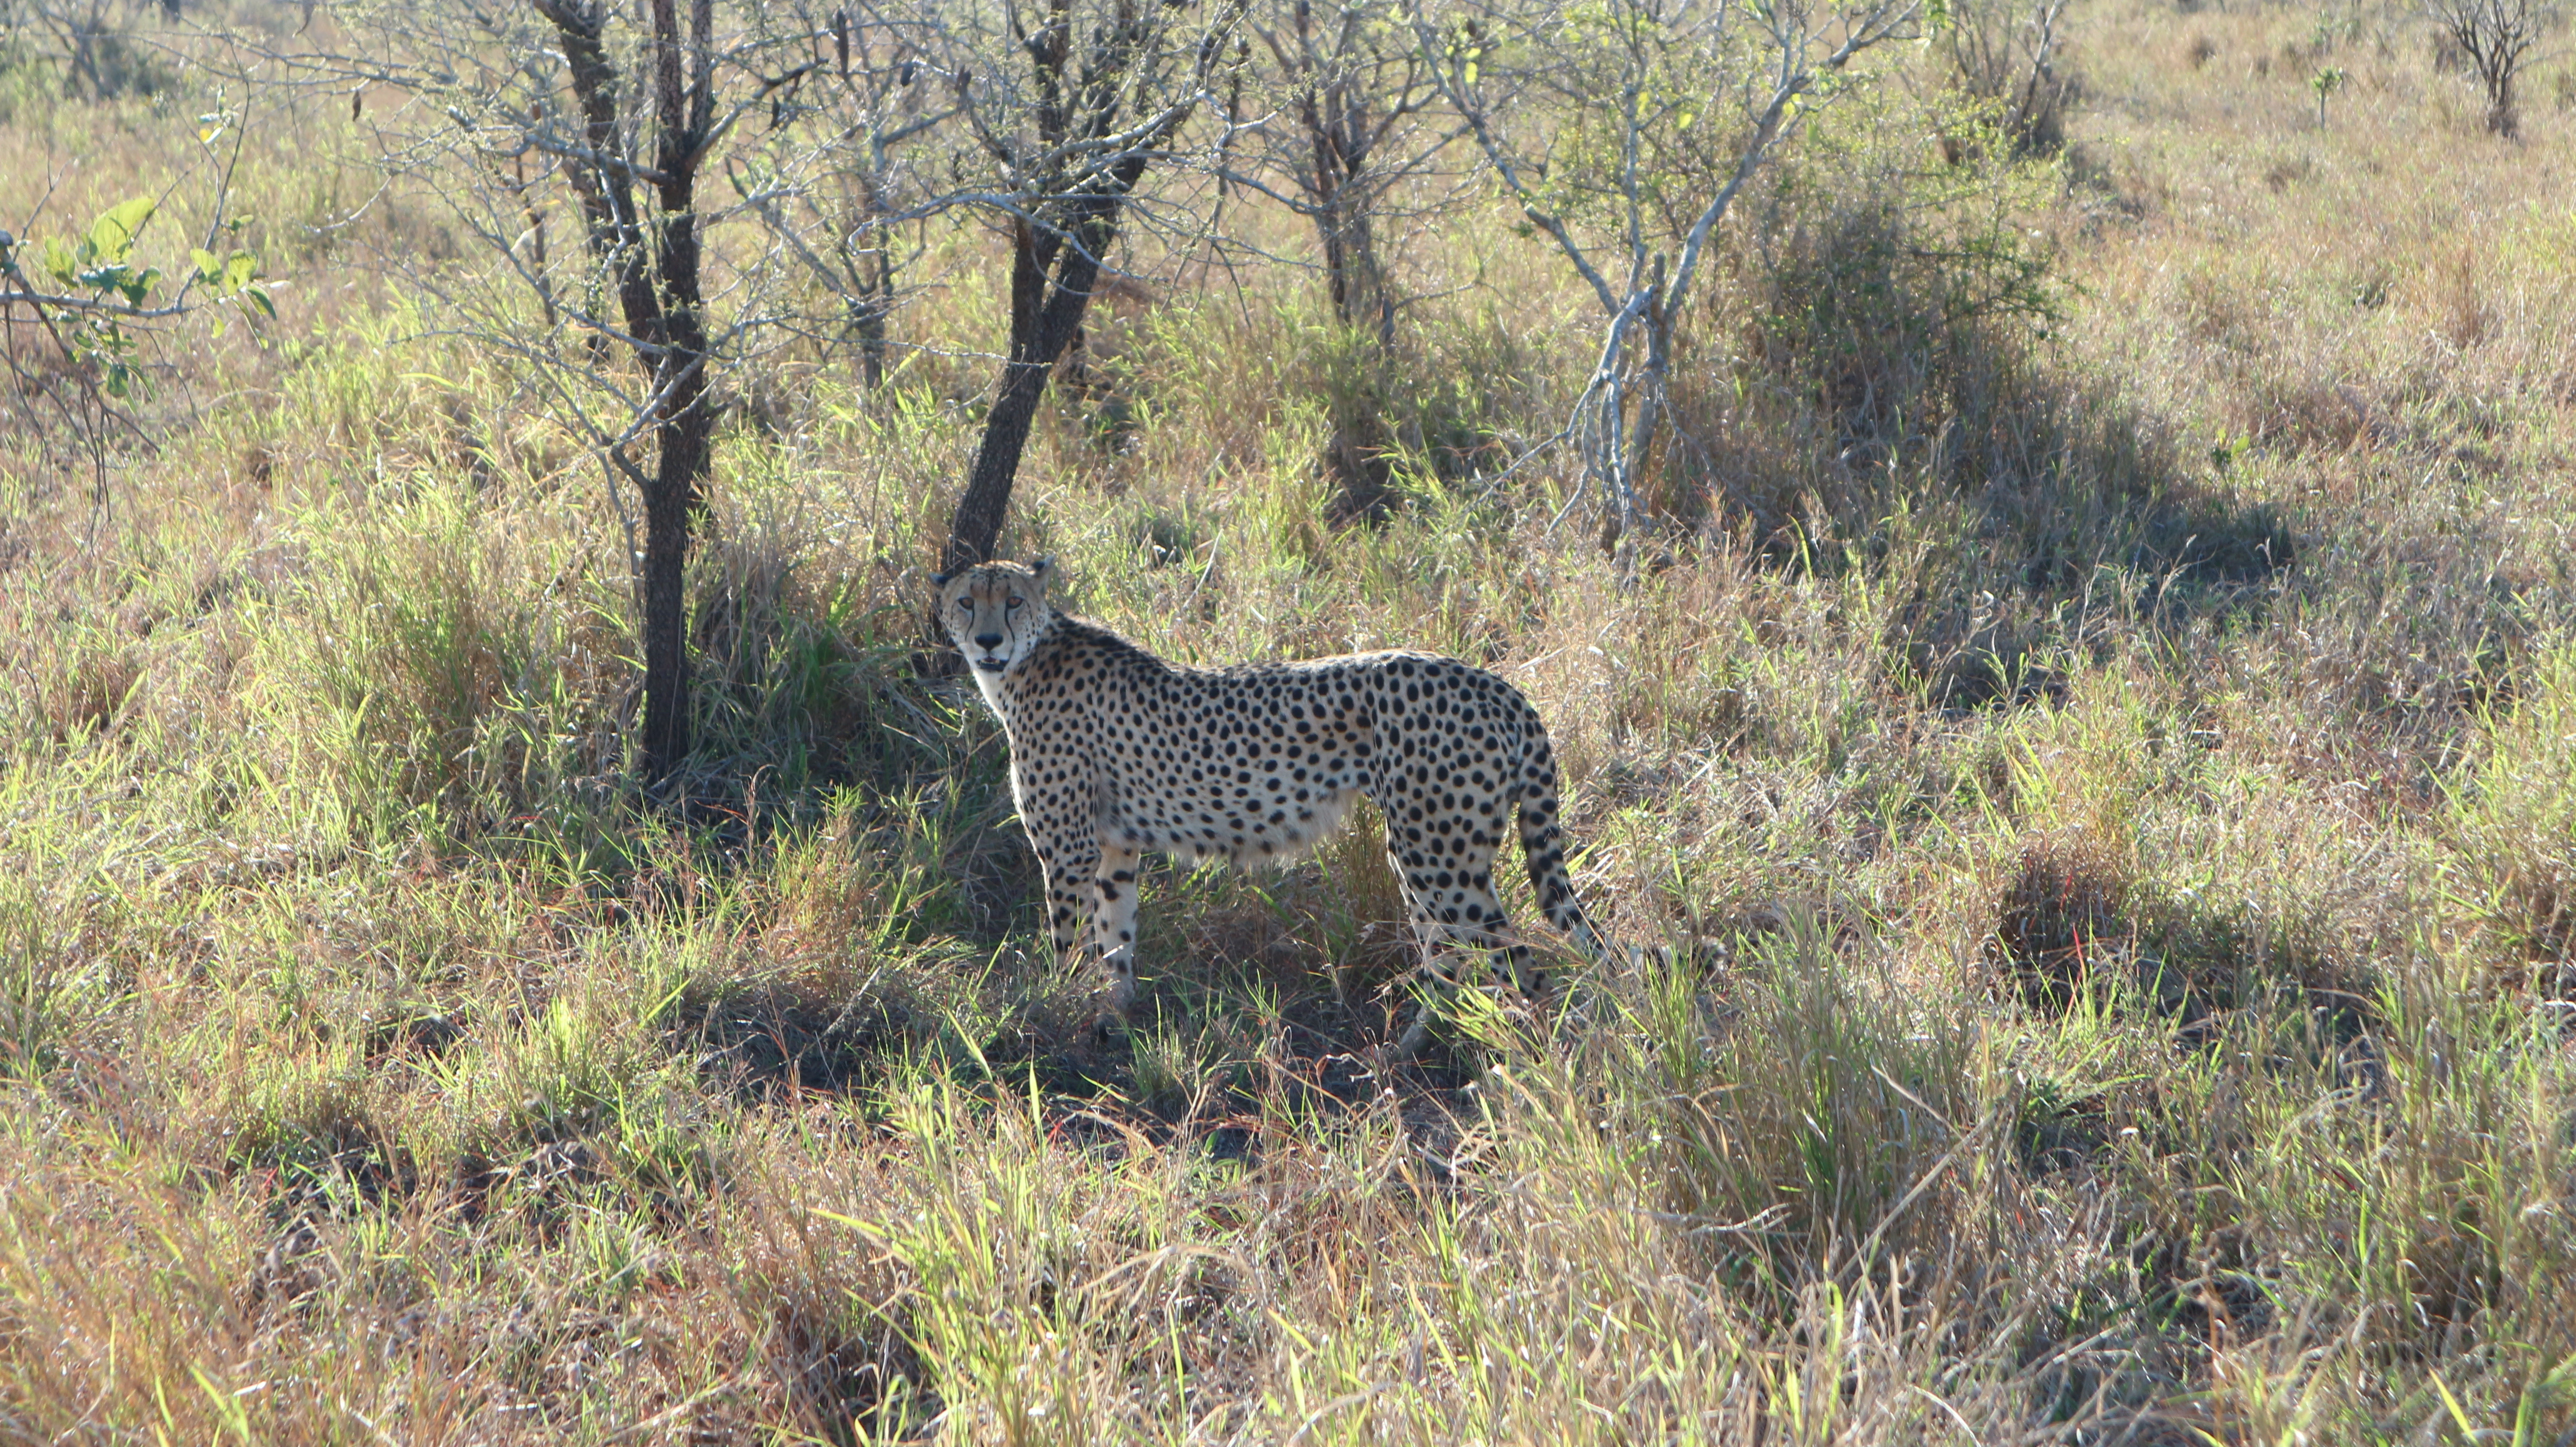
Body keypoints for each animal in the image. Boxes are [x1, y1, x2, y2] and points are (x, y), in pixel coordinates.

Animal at [937, 551, 1597, 1045]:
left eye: (1013, 600)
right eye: (968, 601)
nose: (989, 640)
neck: (1022, 666)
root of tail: (1495, 682)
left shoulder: (1069, 852)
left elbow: (1067, 942)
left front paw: (1057, 1008)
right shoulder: (1114, 849)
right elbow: (1115, 939)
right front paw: (1114, 1015)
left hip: (1438, 857)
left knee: (1524, 963)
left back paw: (1547, 1062)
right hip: (1427, 854)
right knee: (1453, 959)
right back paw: (1412, 1048)